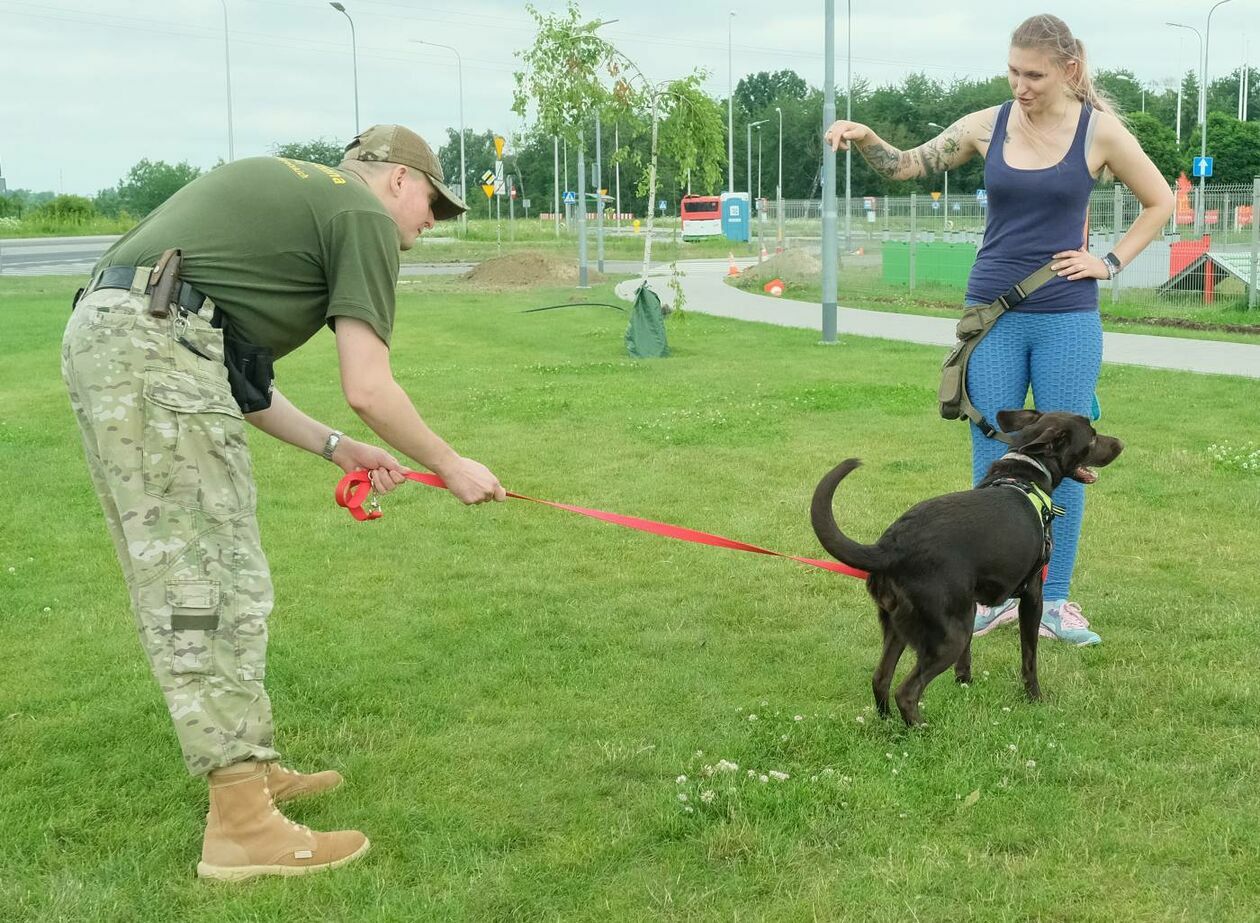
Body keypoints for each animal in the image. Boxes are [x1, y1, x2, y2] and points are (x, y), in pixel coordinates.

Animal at [816, 407, 1123, 725]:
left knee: (880, 679)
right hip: (948, 634)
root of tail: (891, 547)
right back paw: (920, 729)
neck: (1024, 472)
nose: (1121, 444)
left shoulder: (971, 603)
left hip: (899, 626)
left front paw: (964, 681)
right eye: (1092, 437)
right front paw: (1035, 697)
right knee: (907, 691)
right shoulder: (1032, 595)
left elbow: (967, 655)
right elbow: (1029, 656)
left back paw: (889, 723)